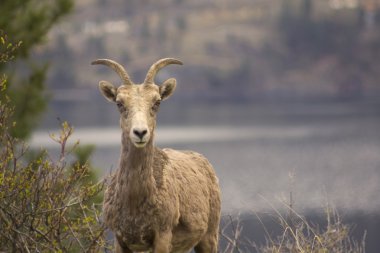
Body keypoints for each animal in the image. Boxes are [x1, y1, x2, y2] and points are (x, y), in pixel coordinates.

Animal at [92, 57, 221, 253]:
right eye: (119, 103)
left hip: (209, 236)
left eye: (157, 102)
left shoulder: (163, 235)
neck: (134, 203)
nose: (140, 132)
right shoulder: (120, 239)